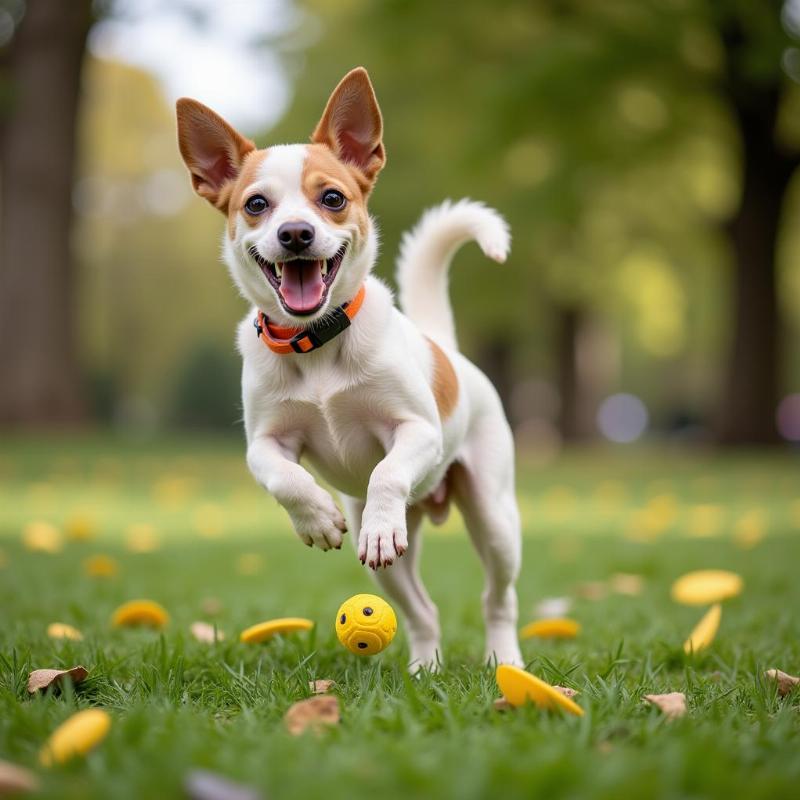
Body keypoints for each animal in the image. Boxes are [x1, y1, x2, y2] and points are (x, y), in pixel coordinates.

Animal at [177, 67, 520, 668]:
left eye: (332, 198)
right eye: (256, 204)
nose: (295, 233)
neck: (315, 342)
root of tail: (446, 347)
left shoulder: (417, 431)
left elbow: (387, 471)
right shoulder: (265, 441)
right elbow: (283, 476)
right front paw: (315, 517)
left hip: (495, 518)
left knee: (498, 599)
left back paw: (507, 661)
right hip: (392, 567)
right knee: (423, 611)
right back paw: (424, 669)